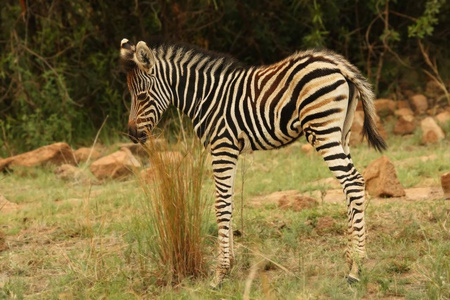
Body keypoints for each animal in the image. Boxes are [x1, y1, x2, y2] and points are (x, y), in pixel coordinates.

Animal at [119, 38, 386, 288]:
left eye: (142, 96)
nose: (132, 135)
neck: (204, 97)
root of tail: (337, 63)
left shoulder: (222, 147)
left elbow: (221, 205)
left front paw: (220, 274)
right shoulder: (230, 151)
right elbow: (229, 202)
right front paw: (229, 265)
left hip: (322, 130)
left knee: (353, 182)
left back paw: (356, 269)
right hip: (342, 132)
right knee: (349, 186)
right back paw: (350, 261)